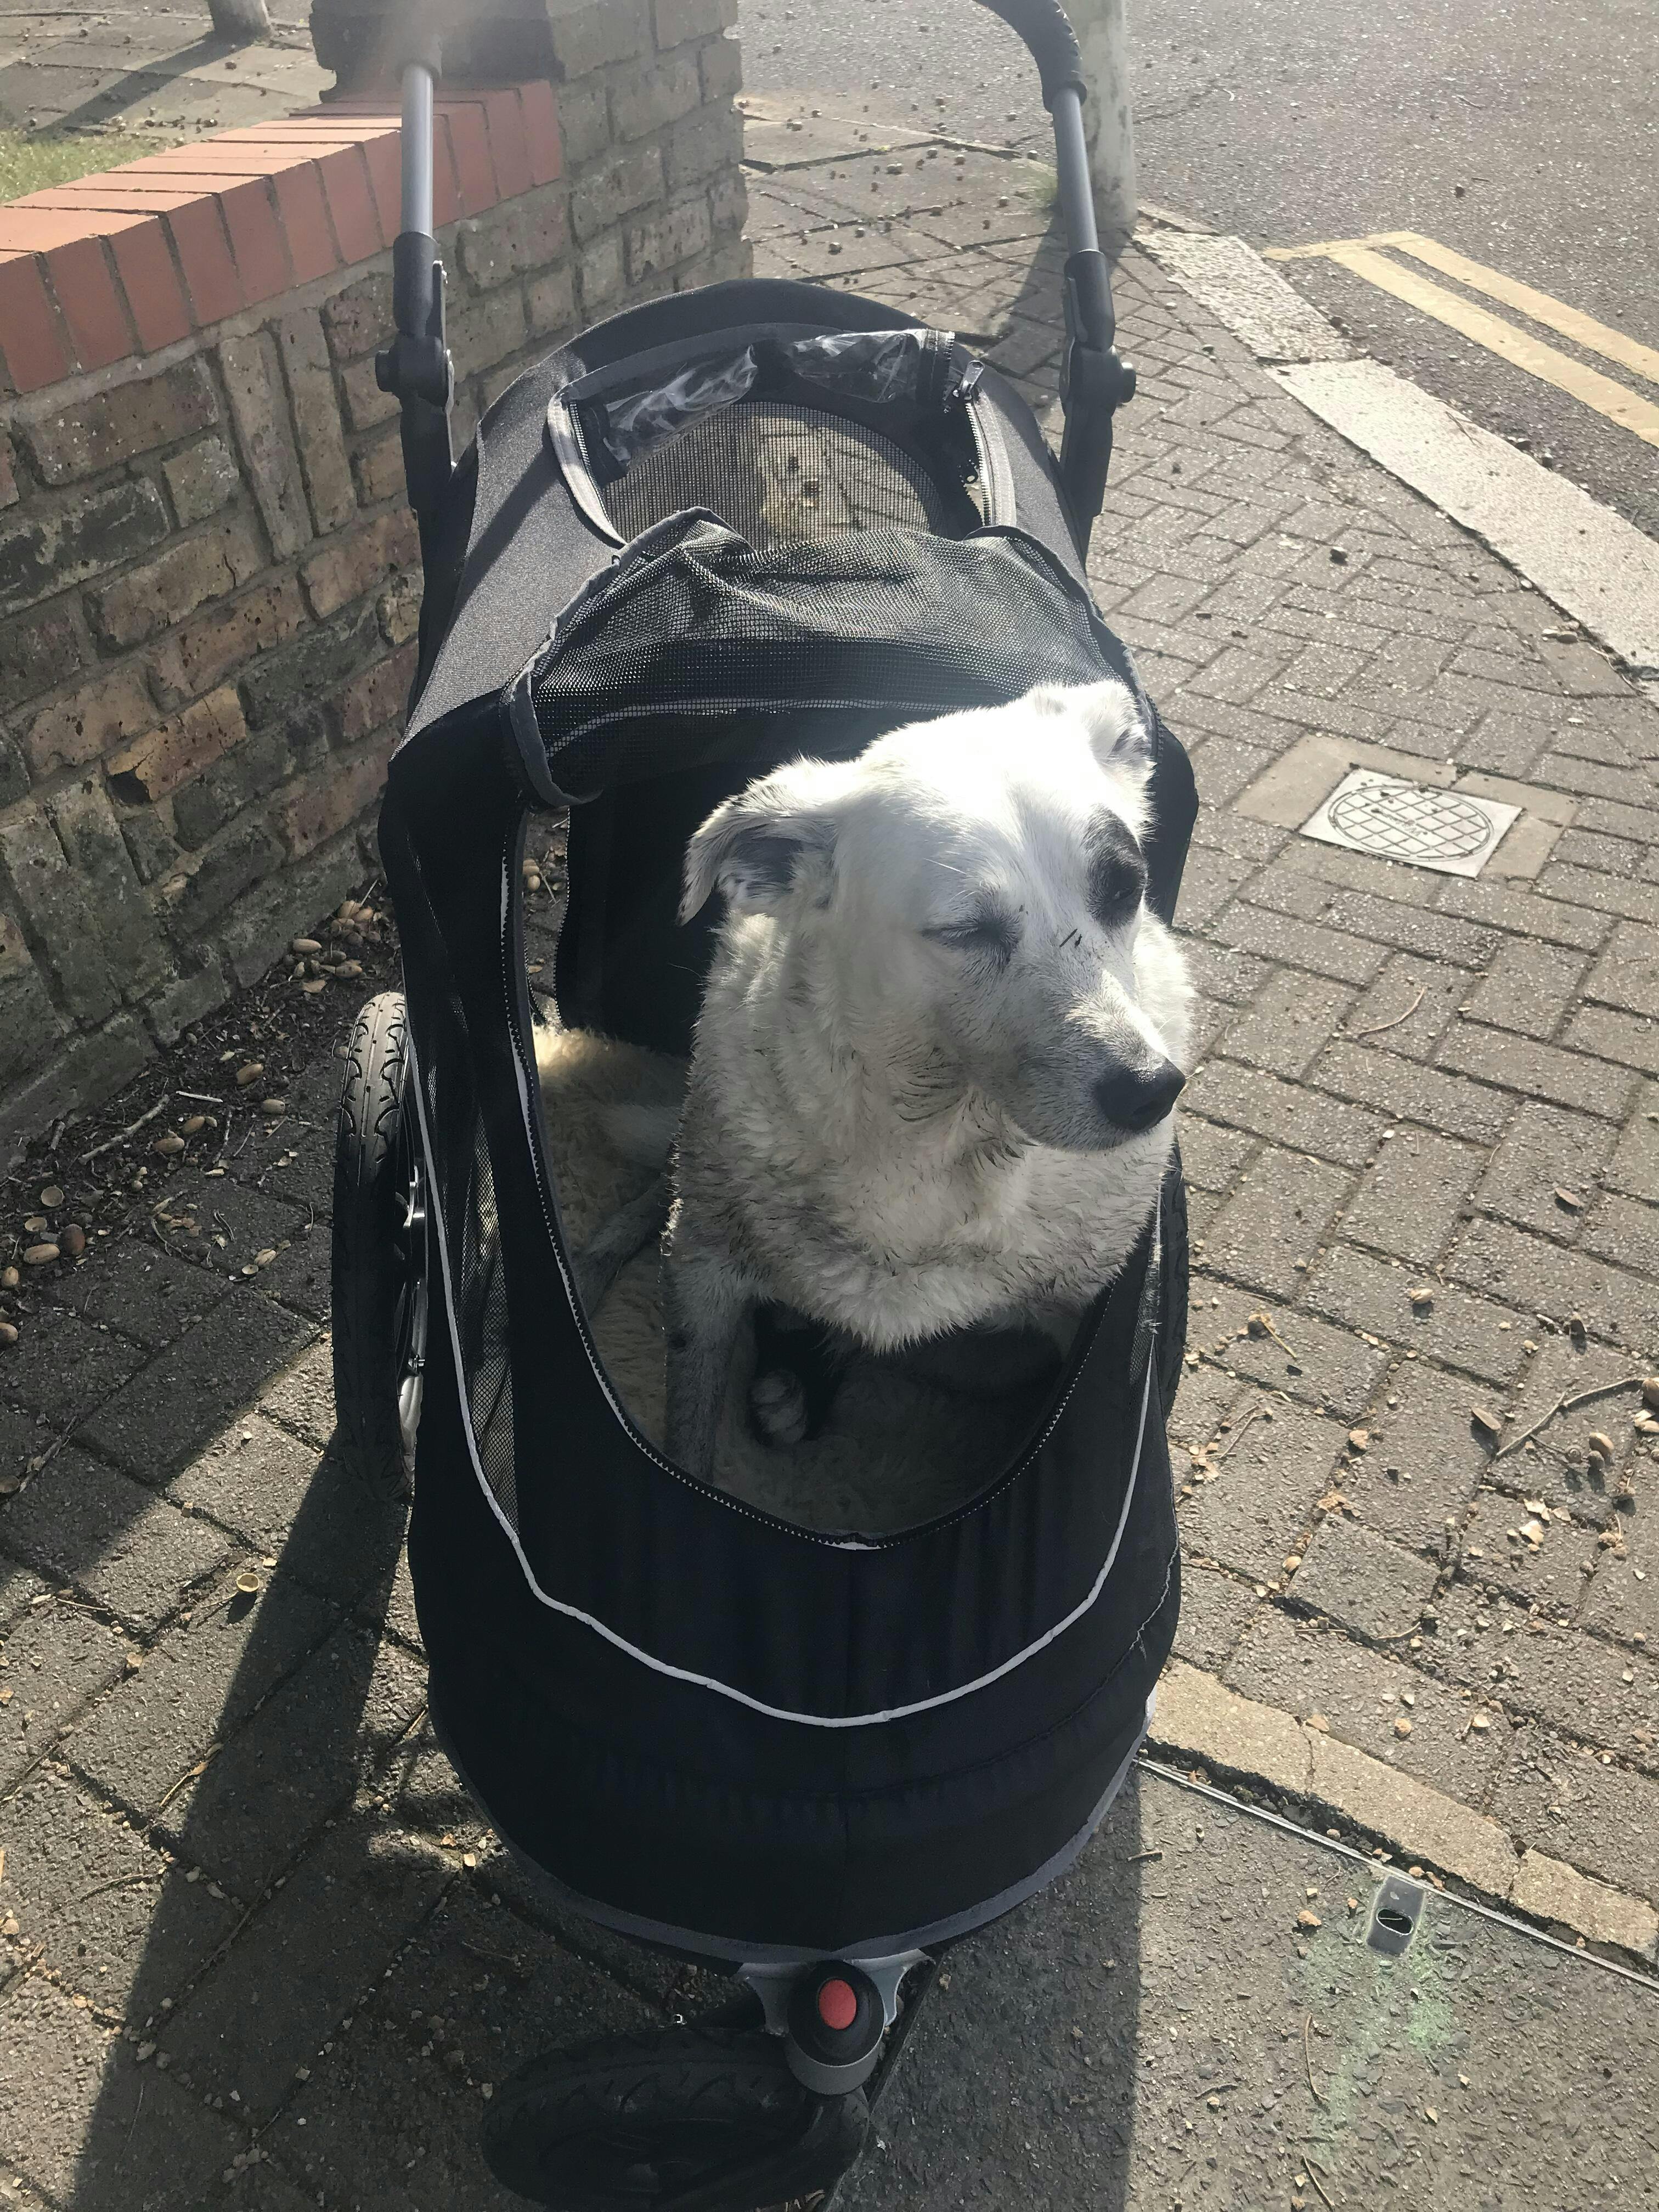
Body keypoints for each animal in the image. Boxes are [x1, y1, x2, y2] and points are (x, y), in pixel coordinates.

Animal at [659, 677, 1192, 1486]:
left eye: (1124, 891)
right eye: (966, 932)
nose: (1150, 1091)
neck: (941, 1151)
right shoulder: (701, 1264)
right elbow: (684, 1438)